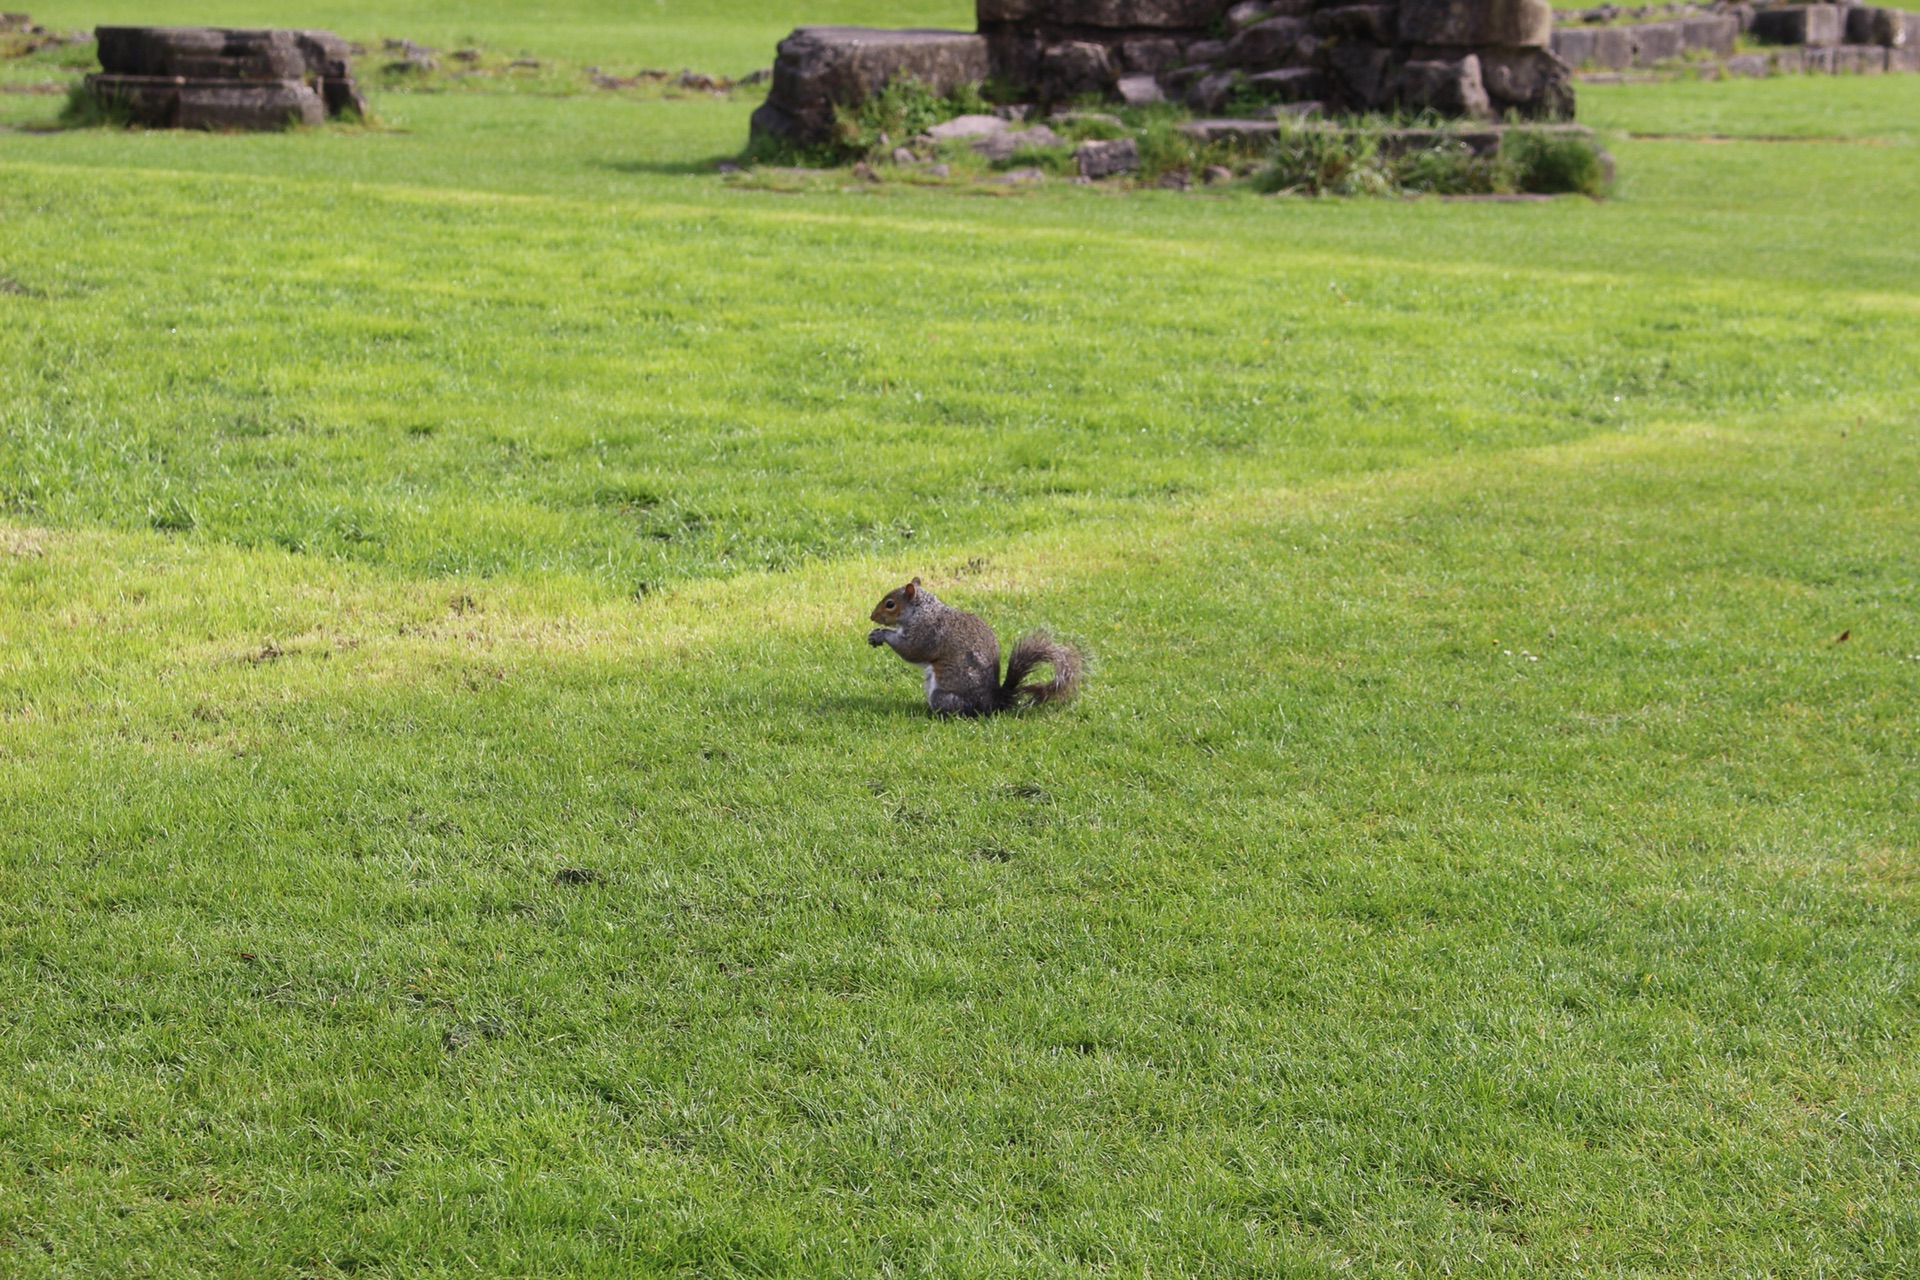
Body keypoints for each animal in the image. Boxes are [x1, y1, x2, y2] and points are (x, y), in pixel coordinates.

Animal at [867, 579, 1082, 717]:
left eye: (890, 604)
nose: (871, 616)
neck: (922, 610)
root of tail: (993, 702)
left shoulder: (925, 631)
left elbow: (912, 649)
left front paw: (882, 634)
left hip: (944, 697)